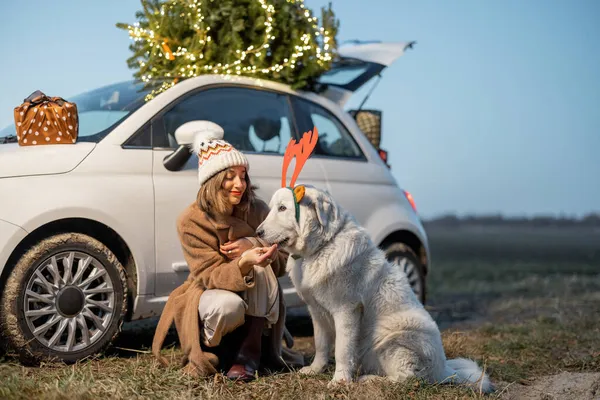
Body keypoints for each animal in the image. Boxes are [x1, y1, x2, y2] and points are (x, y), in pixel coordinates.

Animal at [255, 186, 494, 392]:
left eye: (282, 208)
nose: (258, 232)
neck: (322, 246)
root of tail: (444, 370)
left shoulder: (346, 311)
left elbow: (342, 349)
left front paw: (339, 381)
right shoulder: (317, 311)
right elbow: (321, 344)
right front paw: (315, 370)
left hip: (393, 340)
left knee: (407, 378)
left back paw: (368, 379)